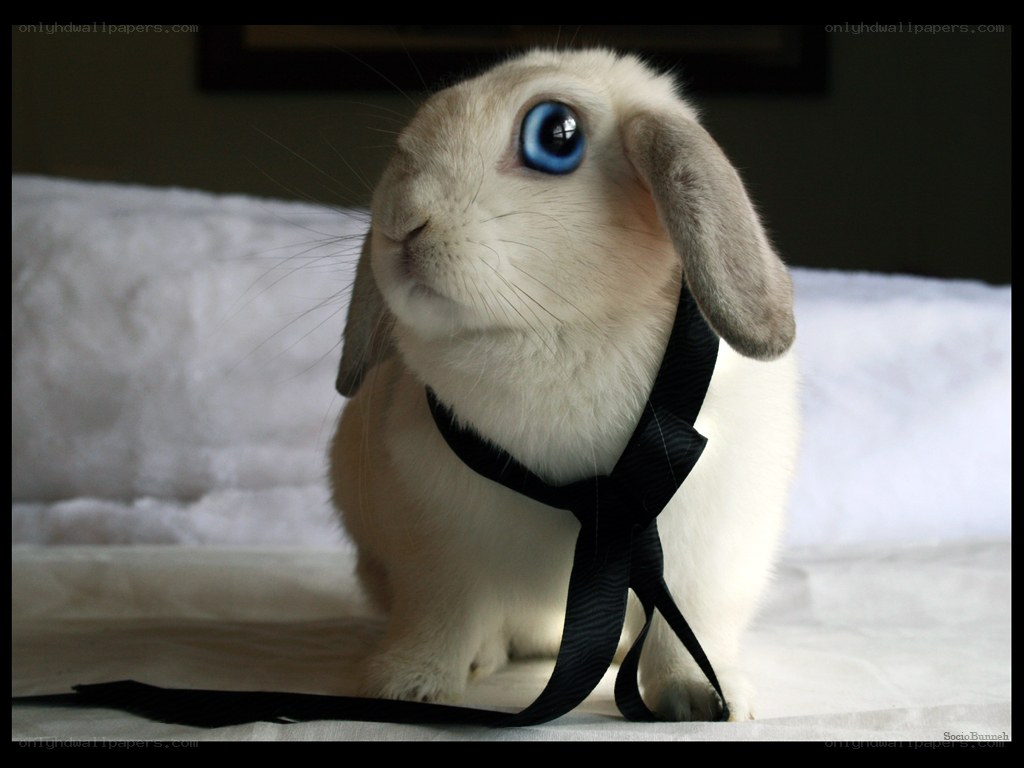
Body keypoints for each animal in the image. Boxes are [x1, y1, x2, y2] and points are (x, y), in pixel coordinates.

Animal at [329, 48, 800, 722]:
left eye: (556, 135)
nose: (399, 222)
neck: (548, 333)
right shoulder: (432, 545)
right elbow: (438, 618)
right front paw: (407, 686)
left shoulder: (705, 552)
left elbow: (687, 626)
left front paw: (701, 699)